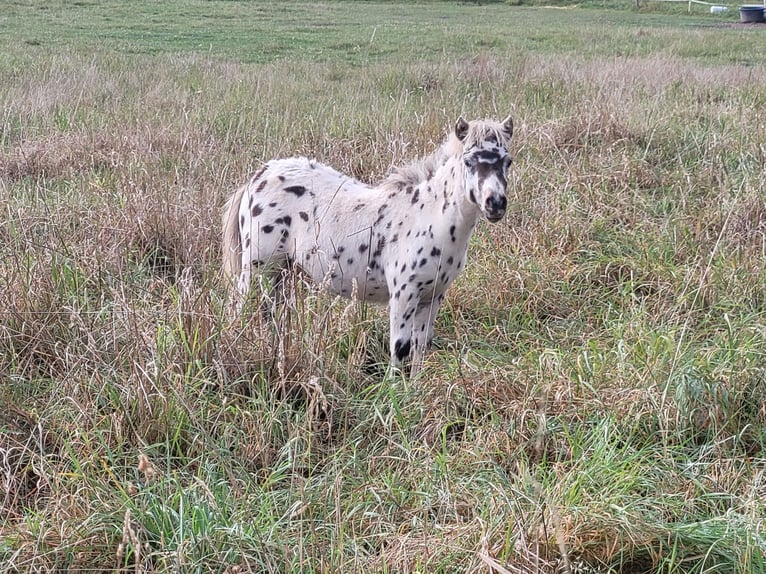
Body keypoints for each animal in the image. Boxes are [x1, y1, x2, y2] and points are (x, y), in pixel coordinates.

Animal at [225, 117, 520, 378]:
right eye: (468, 161)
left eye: (508, 161)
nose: (495, 203)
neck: (429, 217)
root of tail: (258, 177)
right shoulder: (404, 294)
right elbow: (400, 349)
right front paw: (394, 396)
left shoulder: (433, 296)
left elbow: (421, 348)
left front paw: (414, 390)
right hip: (256, 269)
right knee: (241, 310)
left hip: (280, 273)